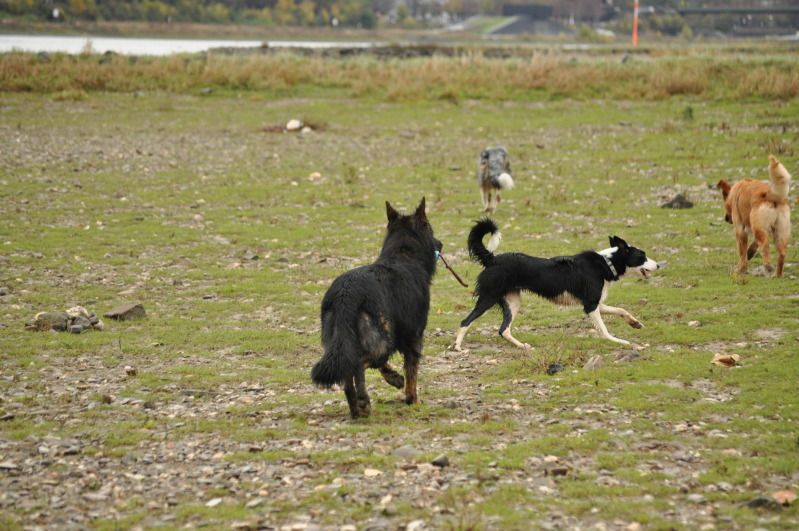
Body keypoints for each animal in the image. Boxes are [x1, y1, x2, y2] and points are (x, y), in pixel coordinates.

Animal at [311, 198, 442, 418]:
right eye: (430, 228)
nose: (440, 244)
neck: (402, 254)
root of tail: (346, 294)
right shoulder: (414, 337)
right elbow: (412, 372)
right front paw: (412, 399)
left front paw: (394, 378)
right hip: (382, 340)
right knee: (358, 363)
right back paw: (363, 401)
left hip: (345, 340)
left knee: (349, 367)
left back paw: (356, 408)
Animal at [453, 219, 659, 351]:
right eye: (642, 256)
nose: (659, 265)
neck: (606, 263)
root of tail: (492, 259)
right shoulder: (591, 306)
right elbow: (605, 330)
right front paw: (622, 342)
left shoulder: (596, 303)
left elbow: (621, 310)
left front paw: (635, 323)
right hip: (488, 297)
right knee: (465, 321)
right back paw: (457, 347)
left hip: (512, 302)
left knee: (504, 330)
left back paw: (523, 346)